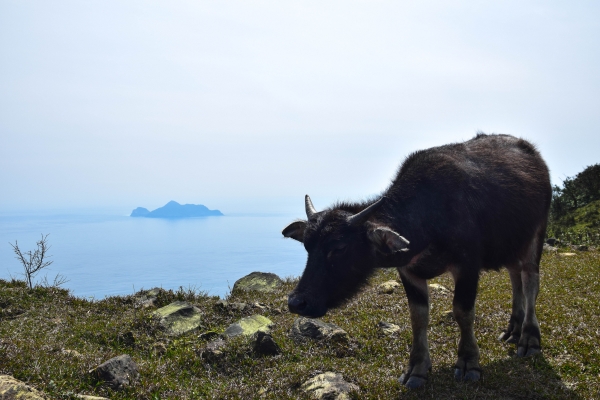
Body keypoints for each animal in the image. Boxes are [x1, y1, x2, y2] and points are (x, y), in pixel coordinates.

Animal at [284, 134, 552, 388]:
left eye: (339, 248)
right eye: (307, 246)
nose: (297, 302)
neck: (430, 217)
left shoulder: (468, 266)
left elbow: (463, 312)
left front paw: (468, 362)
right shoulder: (408, 271)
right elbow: (418, 316)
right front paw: (417, 368)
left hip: (536, 234)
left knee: (530, 281)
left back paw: (529, 338)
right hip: (512, 243)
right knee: (515, 278)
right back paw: (513, 330)